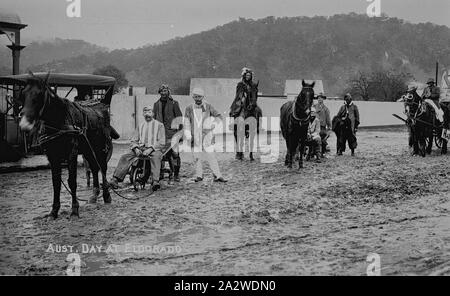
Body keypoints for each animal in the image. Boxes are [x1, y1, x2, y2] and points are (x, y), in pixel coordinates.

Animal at [19, 72, 112, 219]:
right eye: (23, 94)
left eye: (39, 94)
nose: (24, 123)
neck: (58, 120)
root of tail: (102, 106)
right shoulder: (52, 156)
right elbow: (56, 182)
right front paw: (54, 211)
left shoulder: (71, 154)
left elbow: (71, 181)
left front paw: (74, 210)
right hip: (88, 150)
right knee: (94, 167)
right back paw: (94, 195)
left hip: (101, 148)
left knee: (102, 167)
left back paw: (106, 195)